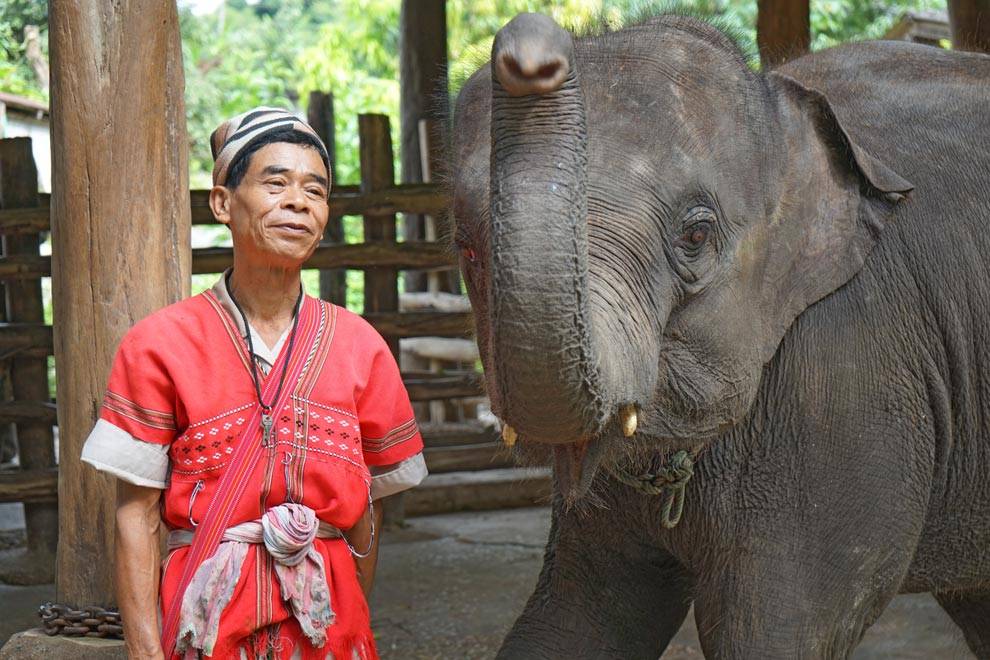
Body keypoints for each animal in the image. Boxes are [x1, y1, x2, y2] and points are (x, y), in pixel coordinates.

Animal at [449, 10, 990, 660]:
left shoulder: (849, 380)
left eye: (696, 236)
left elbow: (772, 632)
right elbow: (577, 618)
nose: (532, 50)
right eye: (466, 248)